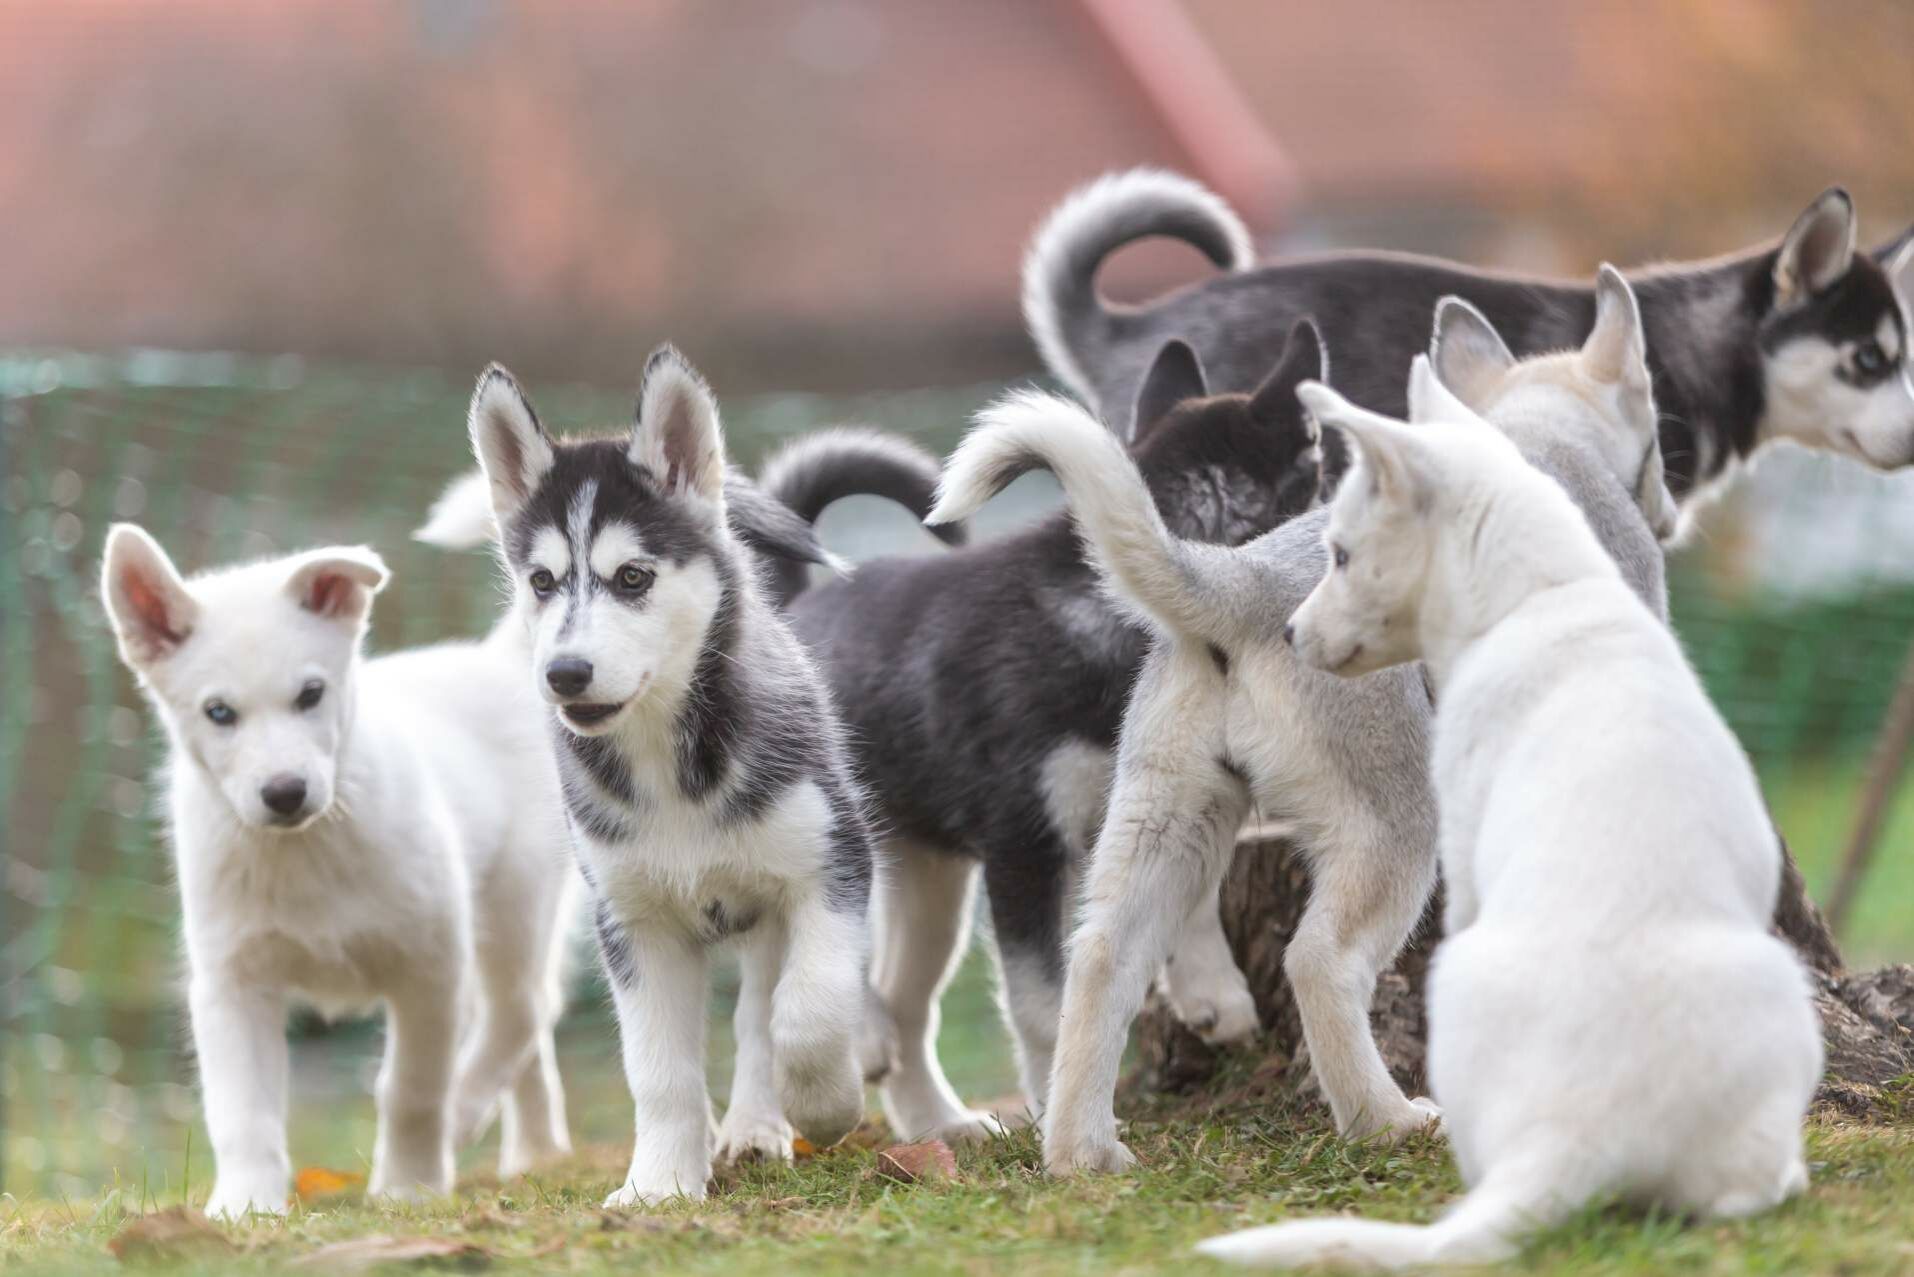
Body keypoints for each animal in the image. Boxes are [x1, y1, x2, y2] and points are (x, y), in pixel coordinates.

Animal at [100, 528, 570, 1217]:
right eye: (219, 712)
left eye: (310, 694)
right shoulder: (232, 983)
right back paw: (536, 1154)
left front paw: (409, 1186)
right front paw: (245, 1204)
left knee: (524, 1011)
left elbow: (411, 1090)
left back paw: (468, 1115)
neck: (306, 851)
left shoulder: (429, 968)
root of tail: (497, 661)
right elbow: (243, 1112)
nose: (284, 793)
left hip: (515, 906)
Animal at [459, 344, 876, 1202]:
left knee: (765, 1011)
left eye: (632, 577)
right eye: (542, 582)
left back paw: (765, 1121)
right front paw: (659, 1183)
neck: (669, 763)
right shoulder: (632, 922)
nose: (564, 673)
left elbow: (809, 1010)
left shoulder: (835, 863)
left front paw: (825, 1105)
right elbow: (657, 1069)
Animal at [761, 329, 1332, 1141]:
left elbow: (1189, 906)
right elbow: (1040, 1003)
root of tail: (794, 604)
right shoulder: (1022, 850)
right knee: (841, 958)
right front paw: (1051, 1100)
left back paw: (938, 1124)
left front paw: (1211, 993)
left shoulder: (1172, 795)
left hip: (931, 885)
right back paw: (867, 1040)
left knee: (909, 1004)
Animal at [937, 269, 1676, 1179]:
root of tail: (1241, 584)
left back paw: (1084, 1152)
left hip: (1167, 822)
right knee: (1318, 960)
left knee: (1103, 958)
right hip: (1393, 832)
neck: (1536, 429)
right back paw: (1386, 1119)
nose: (1671, 510)